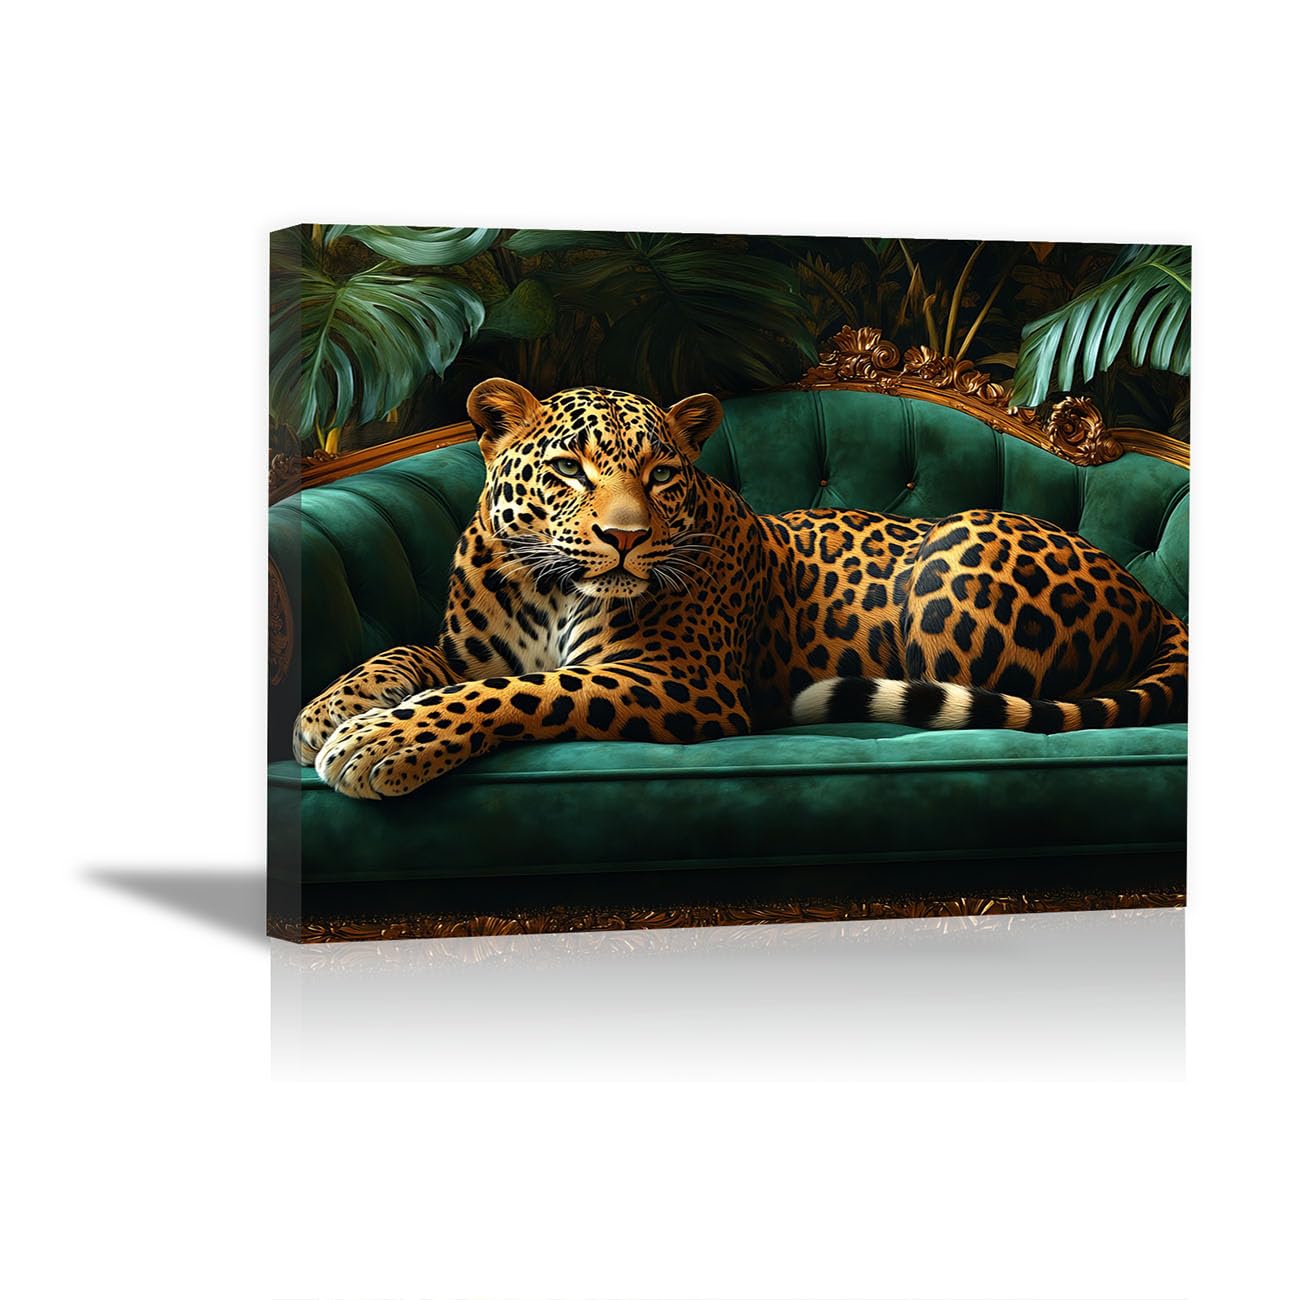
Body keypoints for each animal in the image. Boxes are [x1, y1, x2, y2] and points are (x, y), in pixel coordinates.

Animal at [293, 379, 1189, 800]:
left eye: (660, 476)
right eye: (570, 470)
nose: (626, 538)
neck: (546, 594)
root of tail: (1146, 594)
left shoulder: (679, 680)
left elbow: (525, 692)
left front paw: (381, 743)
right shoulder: (467, 650)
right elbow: (408, 653)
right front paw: (329, 712)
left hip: (956, 550)